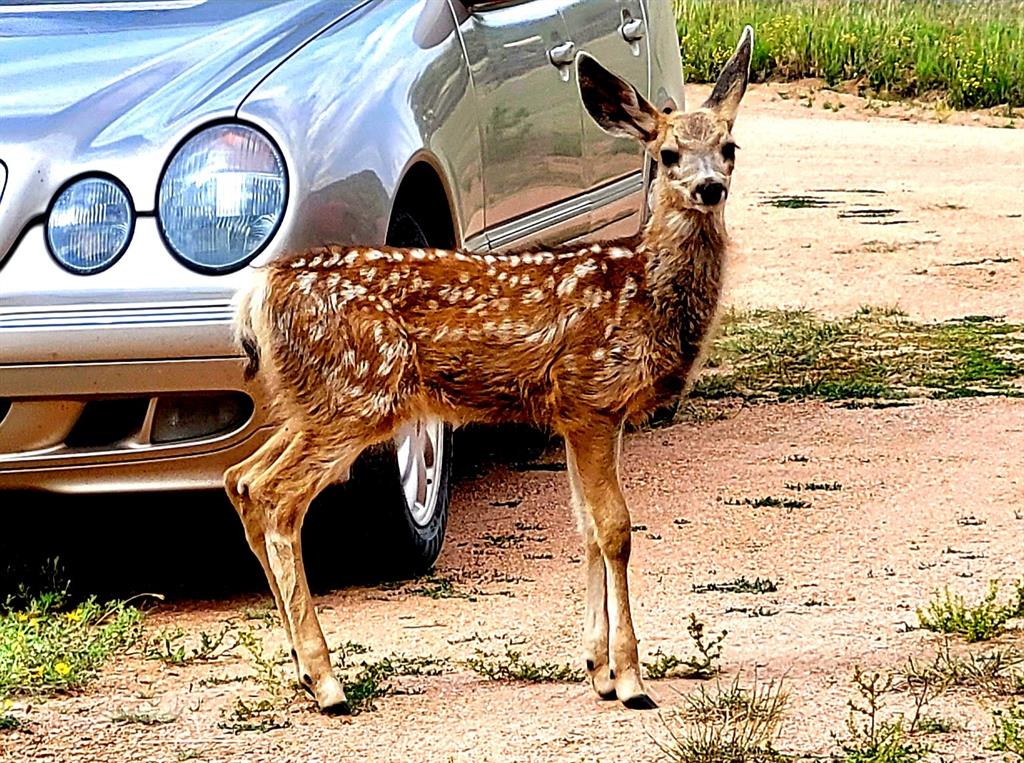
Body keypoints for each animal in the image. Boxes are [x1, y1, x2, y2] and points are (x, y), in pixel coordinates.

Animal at [224, 26, 753, 715]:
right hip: (356, 394)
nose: (709, 187)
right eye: (667, 154)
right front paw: (633, 680)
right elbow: (615, 530)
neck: (639, 289)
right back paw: (327, 681)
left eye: (729, 147)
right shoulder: (591, 398)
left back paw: (297, 669)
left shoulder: (577, 416)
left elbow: (585, 529)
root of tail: (257, 293)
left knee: (239, 479)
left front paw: (597, 670)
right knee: (273, 496)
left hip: (310, 401)